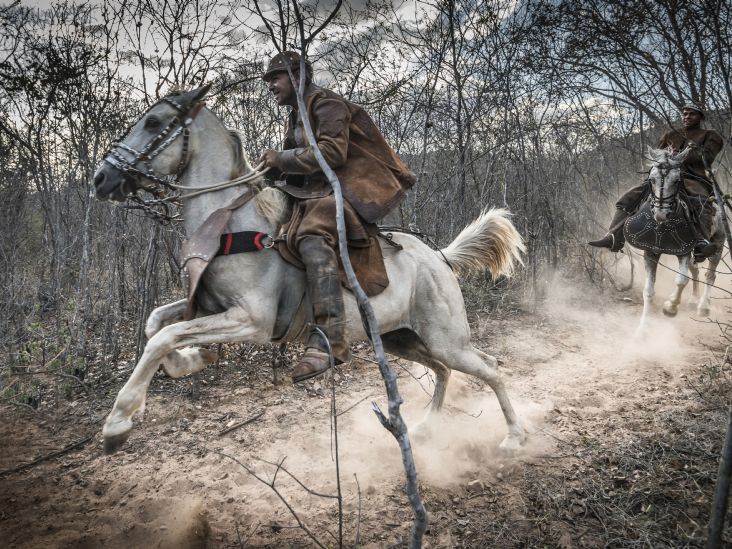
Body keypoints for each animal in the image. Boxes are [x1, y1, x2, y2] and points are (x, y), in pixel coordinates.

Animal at [93, 86, 528, 454]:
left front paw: (118, 421)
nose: (102, 178)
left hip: (446, 339)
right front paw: (190, 361)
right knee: (442, 370)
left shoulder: (250, 320)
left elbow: (162, 337)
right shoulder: (208, 306)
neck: (233, 224)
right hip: (403, 338)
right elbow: (156, 324)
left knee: (488, 368)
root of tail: (440, 258)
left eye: (153, 122)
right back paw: (424, 428)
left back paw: (514, 437)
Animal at [628, 146, 724, 332]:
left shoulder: (683, 251)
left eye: (676, 181)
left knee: (710, 274)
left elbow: (681, 280)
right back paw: (694, 300)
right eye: (652, 180)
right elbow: (648, 291)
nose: (661, 214)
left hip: (719, 240)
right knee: (696, 270)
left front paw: (670, 308)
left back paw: (703, 306)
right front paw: (641, 331)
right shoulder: (651, 253)